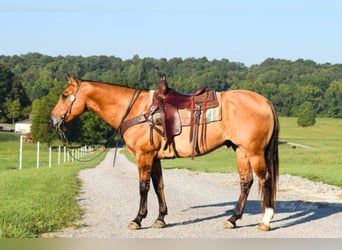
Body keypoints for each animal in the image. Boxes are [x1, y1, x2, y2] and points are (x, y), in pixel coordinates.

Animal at [49, 75, 280, 231]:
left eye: (64, 95)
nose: (52, 120)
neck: (137, 110)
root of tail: (266, 102)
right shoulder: (154, 157)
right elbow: (158, 185)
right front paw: (160, 219)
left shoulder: (144, 155)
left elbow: (143, 187)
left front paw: (137, 219)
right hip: (241, 151)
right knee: (246, 182)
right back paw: (232, 219)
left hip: (255, 152)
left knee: (265, 179)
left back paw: (265, 220)